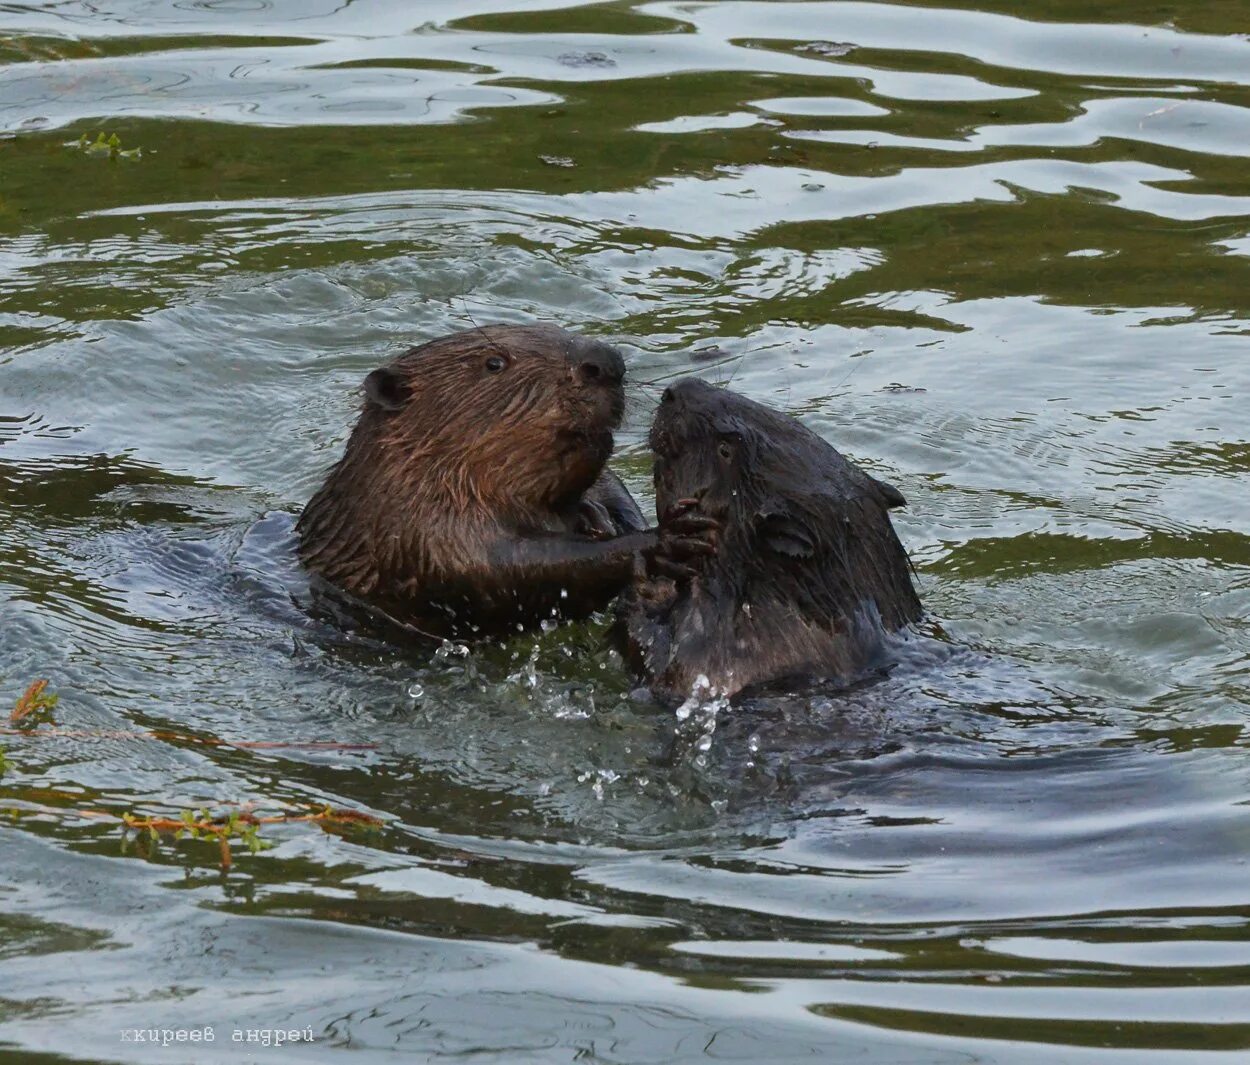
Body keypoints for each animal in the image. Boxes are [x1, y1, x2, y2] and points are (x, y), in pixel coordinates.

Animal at [295, 325, 715, 637]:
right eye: (494, 362)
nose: (605, 362)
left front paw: (609, 517)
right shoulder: (424, 536)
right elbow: (513, 569)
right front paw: (668, 539)